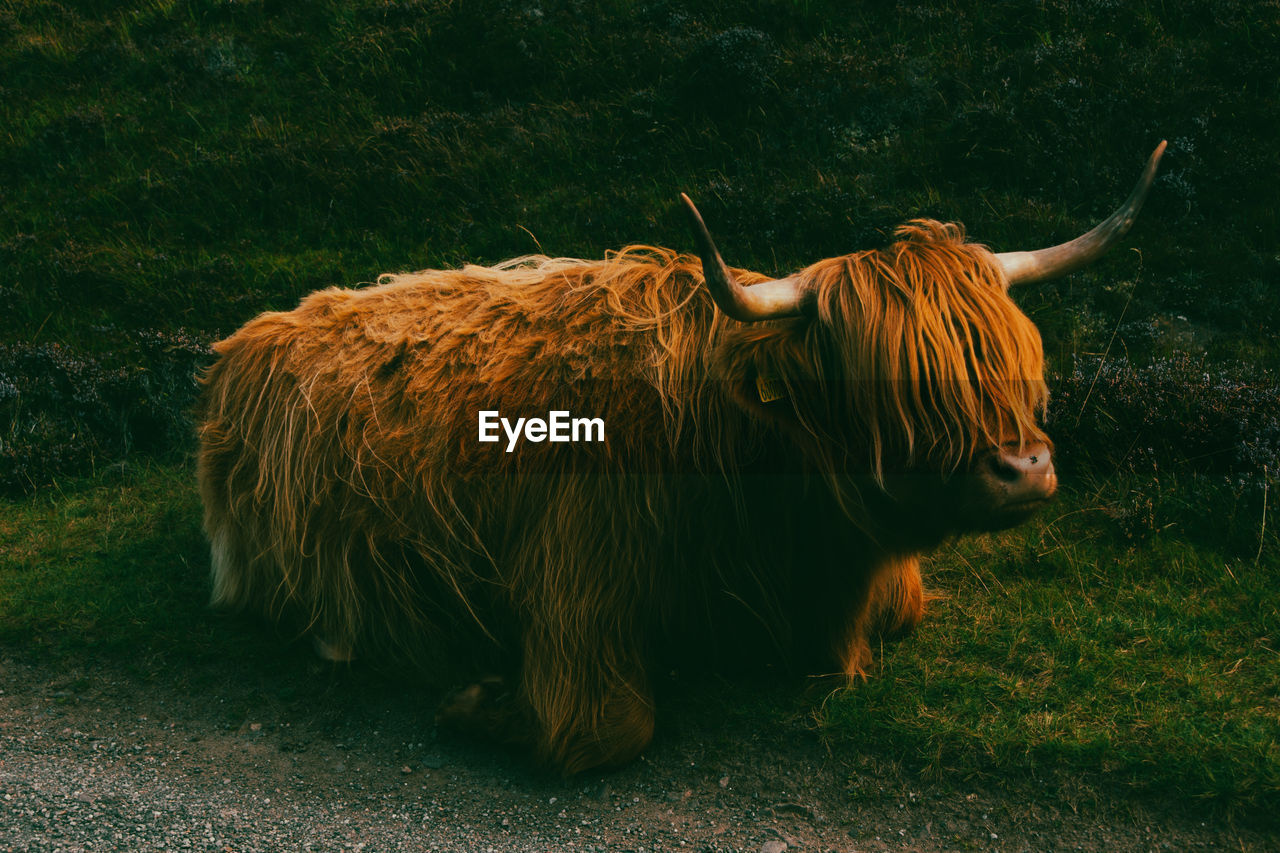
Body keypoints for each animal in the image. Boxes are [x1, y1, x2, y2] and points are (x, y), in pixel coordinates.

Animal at [194, 140, 1167, 768]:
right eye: (885, 377)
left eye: (1012, 355)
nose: (1024, 469)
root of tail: (250, 337)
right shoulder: (577, 586)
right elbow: (603, 730)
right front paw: (475, 701)